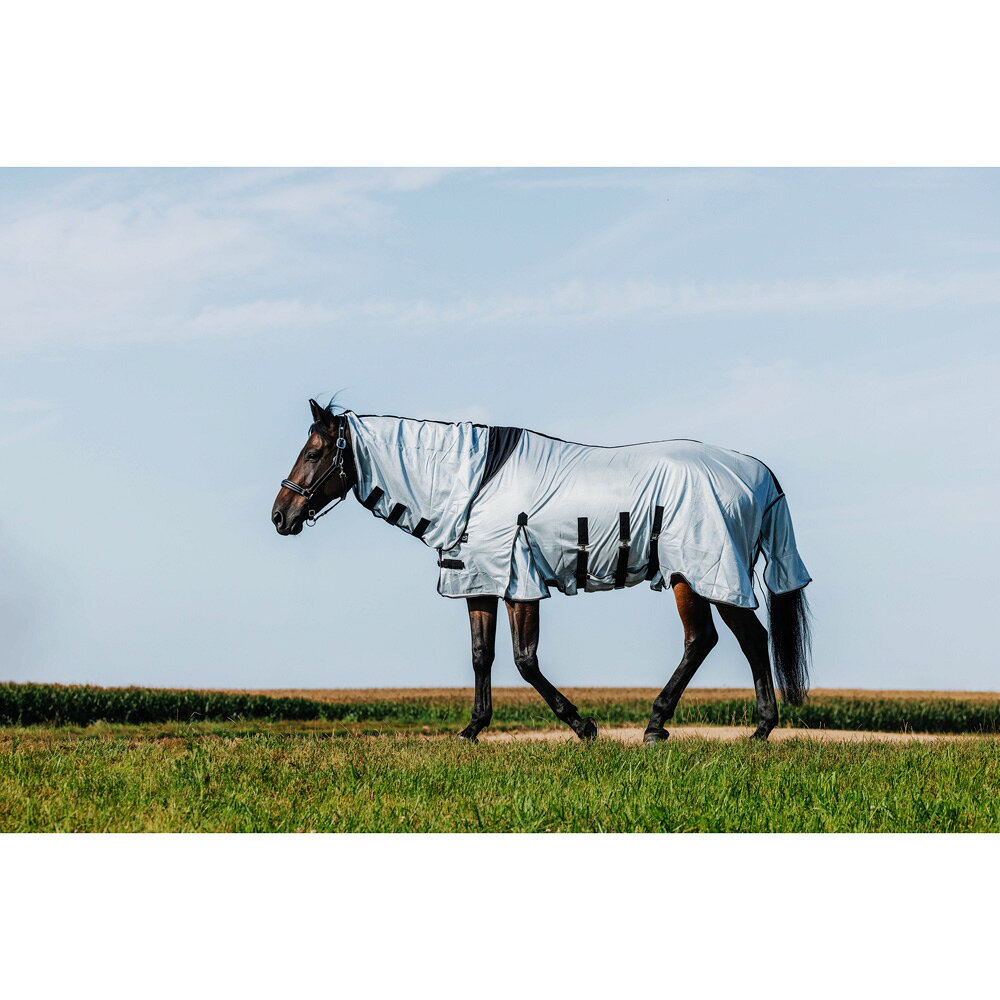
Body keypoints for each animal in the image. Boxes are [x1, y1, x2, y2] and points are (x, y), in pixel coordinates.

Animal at [271, 399, 812, 745]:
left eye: (314, 453)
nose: (280, 516)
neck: (474, 485)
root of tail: (757, 473)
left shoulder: (519, 581)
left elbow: (524, 660)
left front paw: (584, 727)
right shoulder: (480, 581)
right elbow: (481, 657)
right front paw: (472, 729)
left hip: (699, 575)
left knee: (706, 640)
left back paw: (660, 726)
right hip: (708, 578)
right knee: (748, 638)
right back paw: (758, 729)